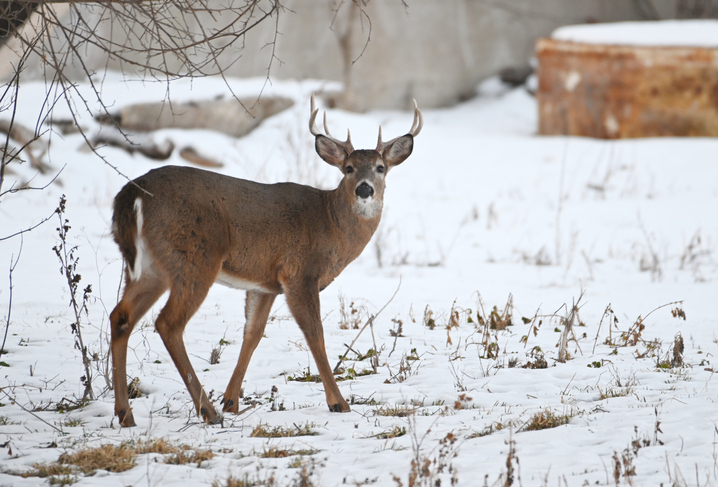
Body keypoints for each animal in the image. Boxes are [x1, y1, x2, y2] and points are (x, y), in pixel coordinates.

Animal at [108, 95, 422, 427]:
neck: (330, 223)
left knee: (121, 316)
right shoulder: (300, 272)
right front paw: (339, 403)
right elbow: (315, 333)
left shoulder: (265, 284)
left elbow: (253, 333)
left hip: (150, 267)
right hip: (195, 257)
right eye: (348, 168)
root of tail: (131, 195)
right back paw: (206, 411)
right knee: (168, 323)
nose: (365, 188)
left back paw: (126, 414)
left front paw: (231, 400)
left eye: (380, 167)